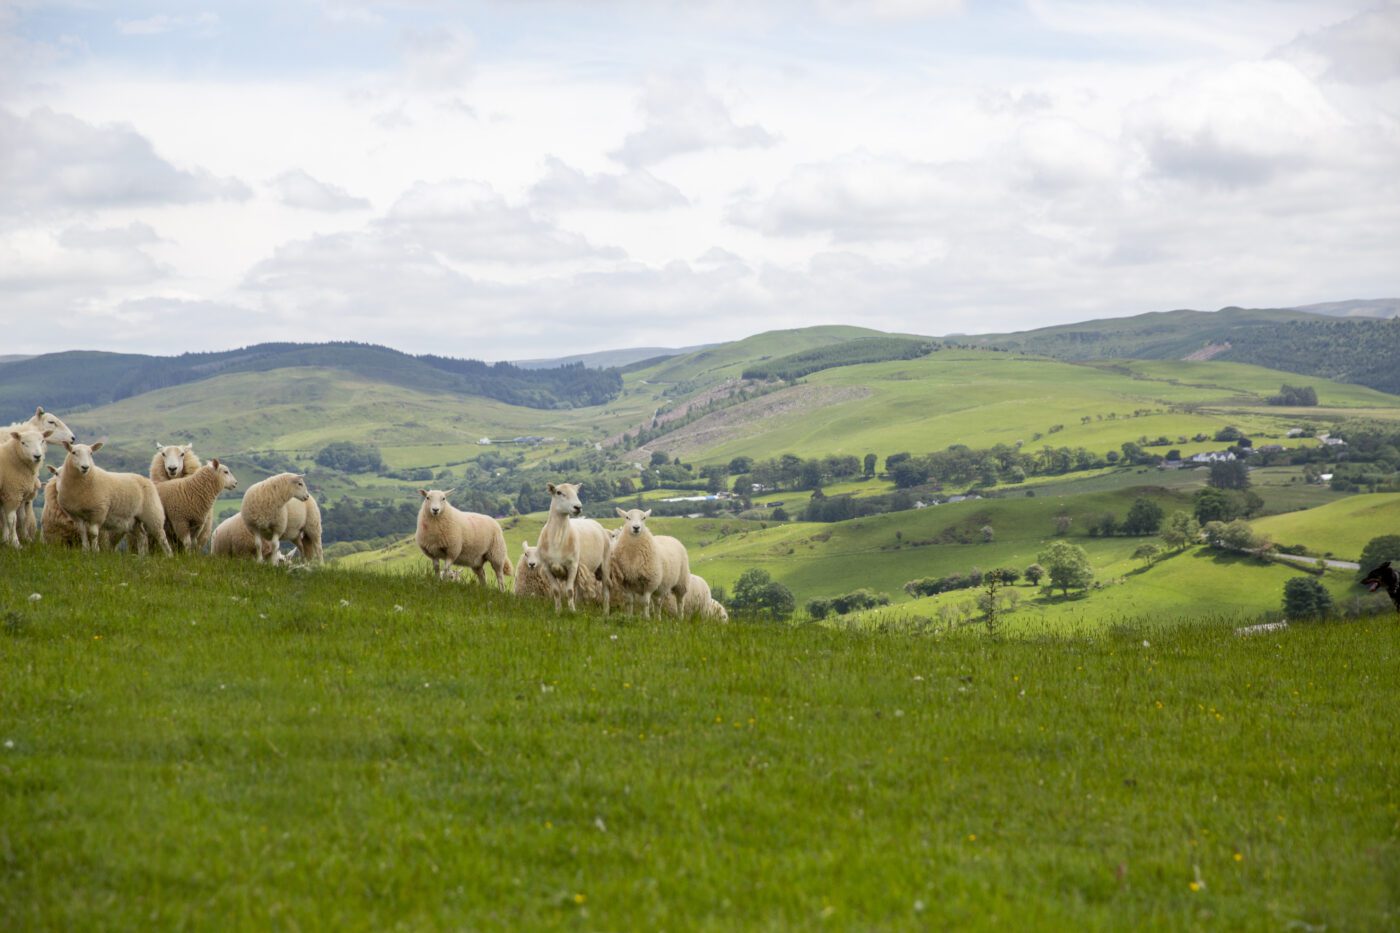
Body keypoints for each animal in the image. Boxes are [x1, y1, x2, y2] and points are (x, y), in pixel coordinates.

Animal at [534, 481, 613, 613]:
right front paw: (558, 611)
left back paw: (605, 612)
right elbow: (556, 591)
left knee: (606, 591)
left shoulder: (572, 565)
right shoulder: (547, 567)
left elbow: (570, 591)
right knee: (579, 591)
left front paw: (572, 612)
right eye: (559, 492)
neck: (557, 539)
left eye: (576, 492)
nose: (578, 507)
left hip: (605, 565)